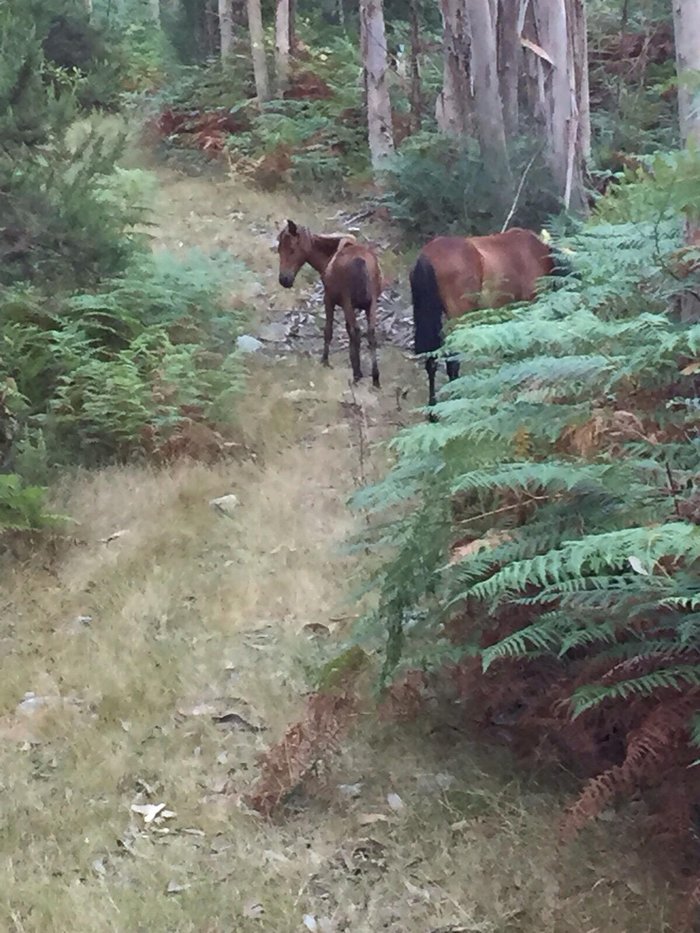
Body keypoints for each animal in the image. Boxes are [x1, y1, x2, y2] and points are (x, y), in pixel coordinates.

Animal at [276, 218, 382, 386]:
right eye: (279, 248)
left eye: (291, 249)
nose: (284, 280)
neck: (326, 258)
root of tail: (361, 262)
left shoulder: (329, 299)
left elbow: (328, 330)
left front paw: (325, 360)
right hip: (370, 304)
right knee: (370, 334)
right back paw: (375, 377)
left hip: (349, 303)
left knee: (357, 331)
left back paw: (357, 375)